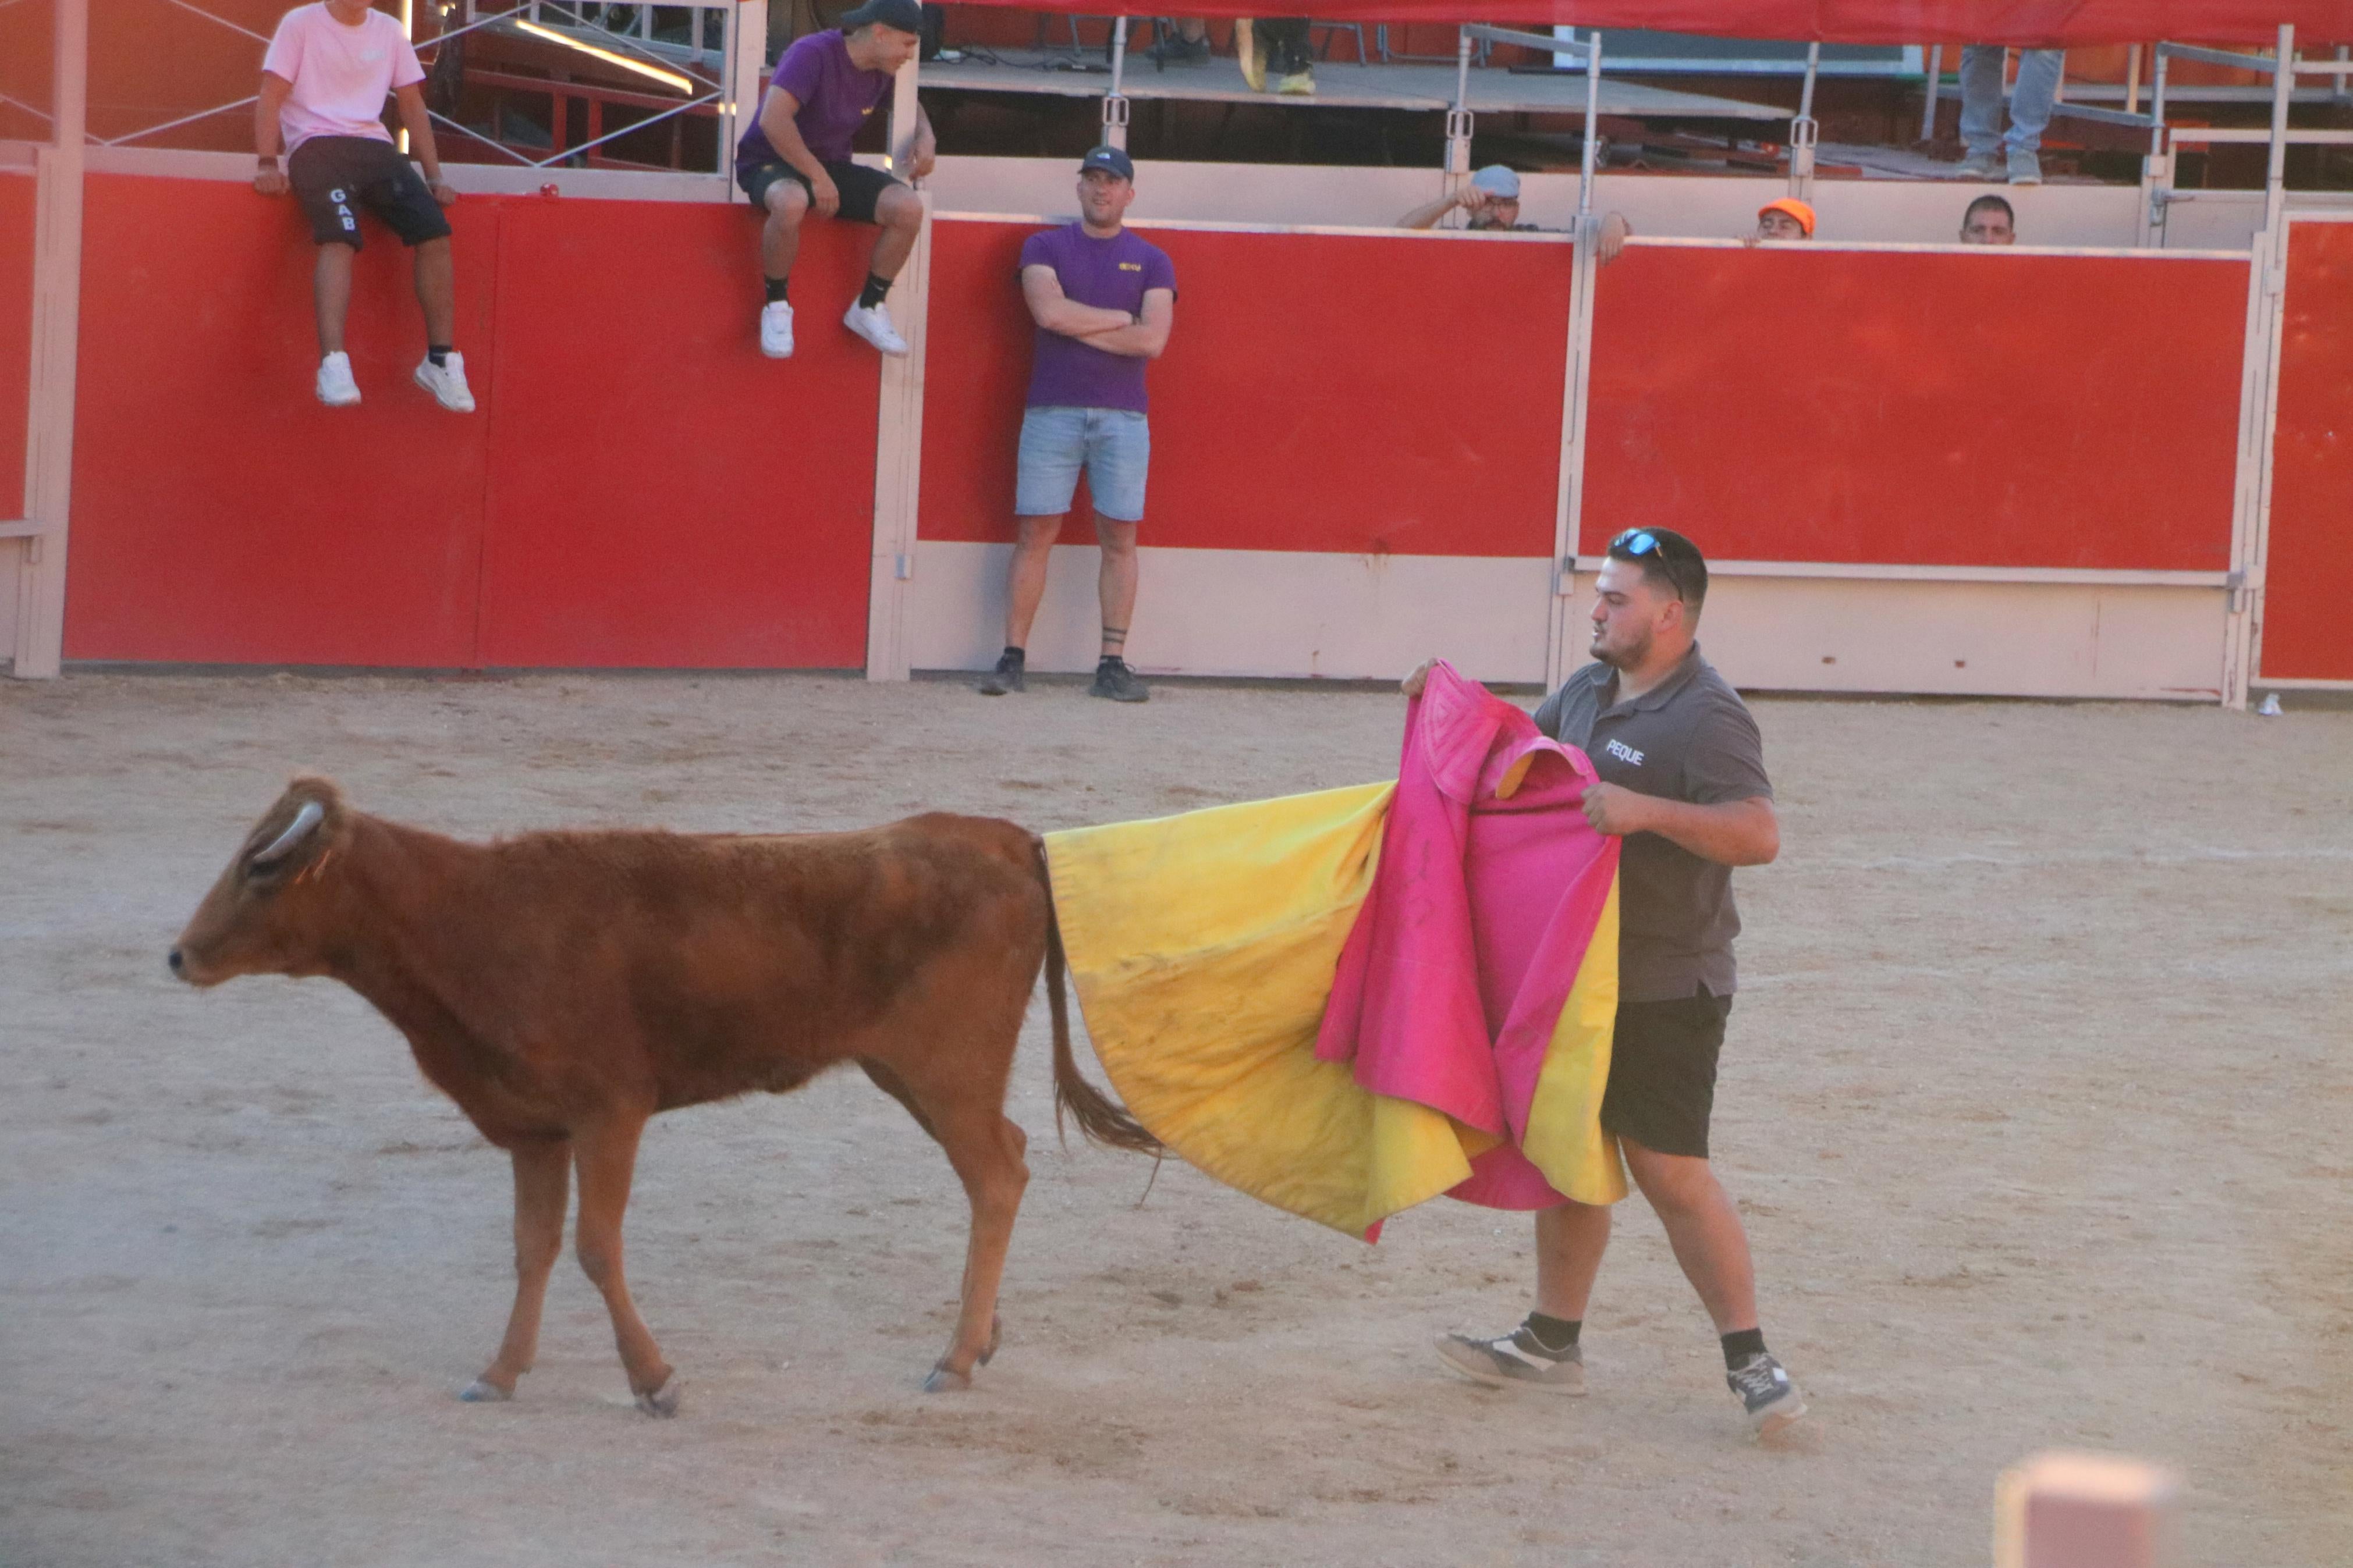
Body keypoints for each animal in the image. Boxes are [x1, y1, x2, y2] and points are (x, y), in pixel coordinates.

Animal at [168, 780, 1158, 1420]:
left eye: (260, 868)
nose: (179, 954)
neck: (469, 916)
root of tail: (1007, 839)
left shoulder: (611, 1111)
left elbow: (595, 1246)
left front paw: (654, 1379)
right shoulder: (534, 1128)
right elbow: (533, 1247)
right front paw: (500, 1371)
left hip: (945, 1071)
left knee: (994, 1176)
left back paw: (951, 1359)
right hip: (917, 1077)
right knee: (1007, 1157)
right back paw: (980, 1339)